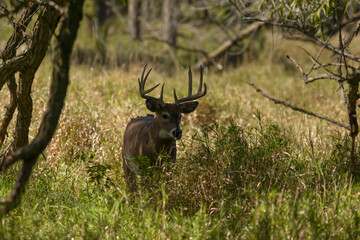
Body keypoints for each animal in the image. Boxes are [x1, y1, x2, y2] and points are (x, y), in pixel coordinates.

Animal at [122, 64, 207, 192]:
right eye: (164, 115)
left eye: (180, 115)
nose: (177, 132)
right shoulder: (144, 167)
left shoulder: (170, 165)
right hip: (126, 163)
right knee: (132, 189)